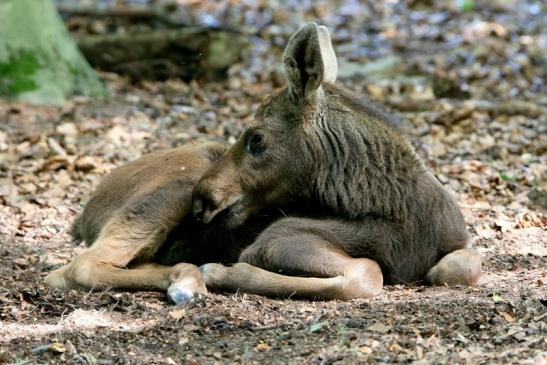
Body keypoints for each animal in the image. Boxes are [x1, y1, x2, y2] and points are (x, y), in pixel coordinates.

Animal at [47, 21, 484, 302]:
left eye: (257, 138)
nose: (204, 199)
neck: (401, 208)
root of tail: (82, 215)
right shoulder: (280, 238)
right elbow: (367, 272)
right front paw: (225, 272)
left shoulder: (458, 245)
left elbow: (462, 267)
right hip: (175, 186)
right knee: (76, 267)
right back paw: (190, 278)